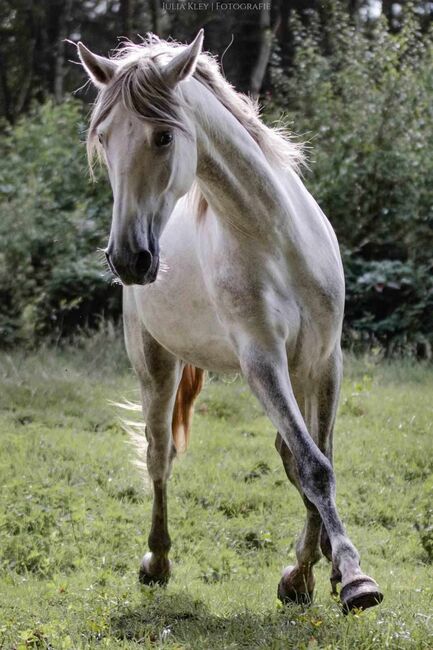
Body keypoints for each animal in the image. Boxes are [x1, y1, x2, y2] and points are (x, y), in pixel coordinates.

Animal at [77, 27, 382, 612]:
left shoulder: (324, 362)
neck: (274, 236)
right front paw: (347, 577)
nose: (128, 259)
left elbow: (317, 459)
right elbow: (313, 466)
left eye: (163, 137)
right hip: (156, 366)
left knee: (287, 454)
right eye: (103, 138)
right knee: (159, 455)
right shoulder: (261, 362)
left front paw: (319, 573)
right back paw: (157, 561)